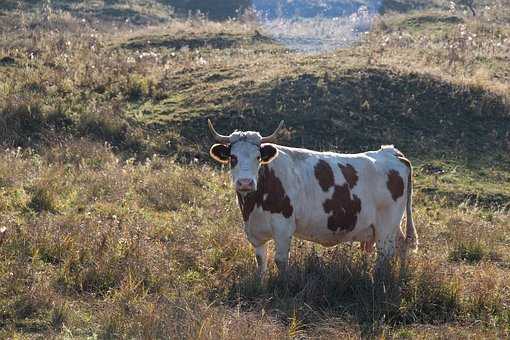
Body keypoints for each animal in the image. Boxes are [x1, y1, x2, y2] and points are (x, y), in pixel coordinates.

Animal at [207, 119, 418, 274]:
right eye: (232, 158)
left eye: (258, 157)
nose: (245, 183)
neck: (253, 206)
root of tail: (390, 152)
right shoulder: (255, 232)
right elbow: (261, 263)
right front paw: (262, 286)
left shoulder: (284, 228)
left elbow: (280, 261)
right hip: (390, 227)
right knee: (402, 246)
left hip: (386, 227)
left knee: (385, 255)